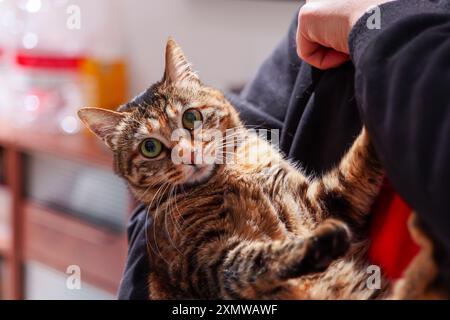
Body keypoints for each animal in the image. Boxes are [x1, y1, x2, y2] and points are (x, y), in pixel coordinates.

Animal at [79, 39, 442, 300]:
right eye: (150, 148)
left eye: (191, 117)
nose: (187, 153)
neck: (234, 174)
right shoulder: (207, 262)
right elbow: (258, 260)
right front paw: (315, 245)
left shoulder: (325, 201)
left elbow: (357, 164)